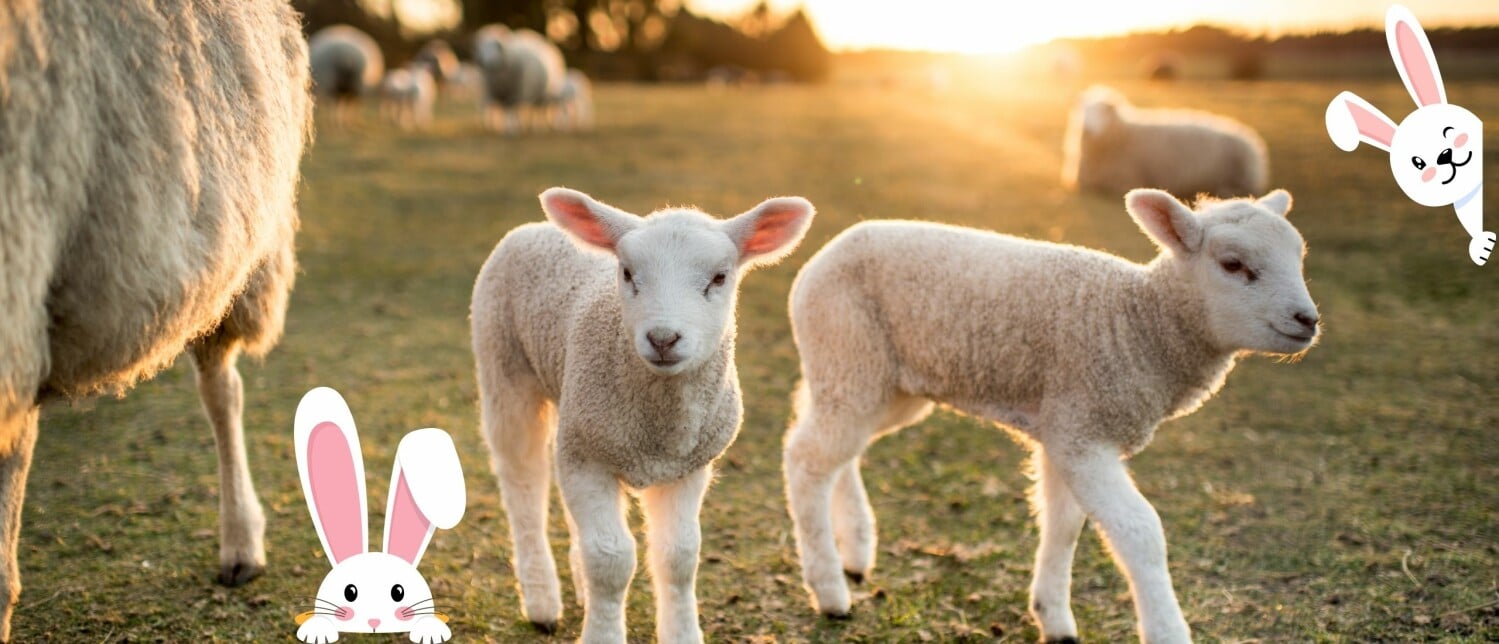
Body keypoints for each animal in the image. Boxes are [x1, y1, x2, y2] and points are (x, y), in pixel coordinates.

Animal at [473, 188, 815, 641]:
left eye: (719, 278)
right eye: (627, 272)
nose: (663, 338)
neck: (658, 431)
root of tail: (536, 226)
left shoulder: (686, 465)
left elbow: (678, 556)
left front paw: (682, 633)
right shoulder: (590, 459)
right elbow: (610, 559)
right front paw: (601, 632)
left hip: (574, 408)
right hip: (504, 368)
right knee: (523, 485)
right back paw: (542, 602)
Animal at [785, 190, 1325, 644]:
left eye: (1298, 259)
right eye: (1233, 264)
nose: (1308, 320)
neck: (1139, 323)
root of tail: (829, 250)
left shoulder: (1064, 428)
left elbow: (1064, 525)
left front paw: (1054, 617)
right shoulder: (1082, 431)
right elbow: (1140, 532)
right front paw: (1166, 630)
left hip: (880, 382)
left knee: (838, 449)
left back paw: (856, 550)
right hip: (849, 353)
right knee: (807, 459)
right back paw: (830, 590)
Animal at [1061, 84, 1271, 199]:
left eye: (1102, 112)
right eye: (1083, 110)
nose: (1086, 129)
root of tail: (1251, 139)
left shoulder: (1126, 180)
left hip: (1239, 177)